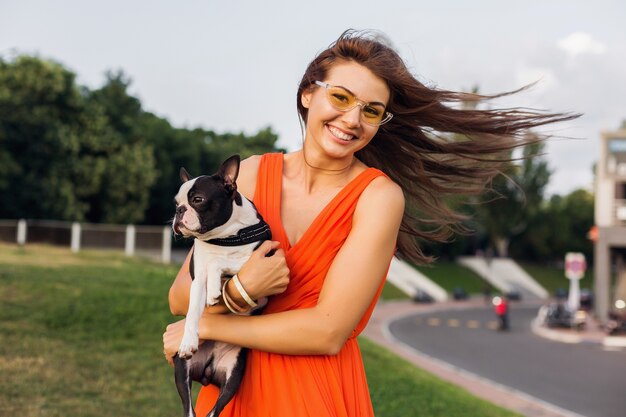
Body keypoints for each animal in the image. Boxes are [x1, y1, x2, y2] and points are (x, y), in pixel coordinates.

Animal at [171, 154, 270, 414]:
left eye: (197, 200)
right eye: (176, 203)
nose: (178, 211)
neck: (224, 237)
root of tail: (208, 370)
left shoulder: (264, 259)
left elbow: (222, 263)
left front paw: (216, 288)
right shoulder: (197, 279)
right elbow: (193, 311)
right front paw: (189, 339)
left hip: (234, 374)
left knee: (214, 410)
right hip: (182, 370)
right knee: (189, 408)